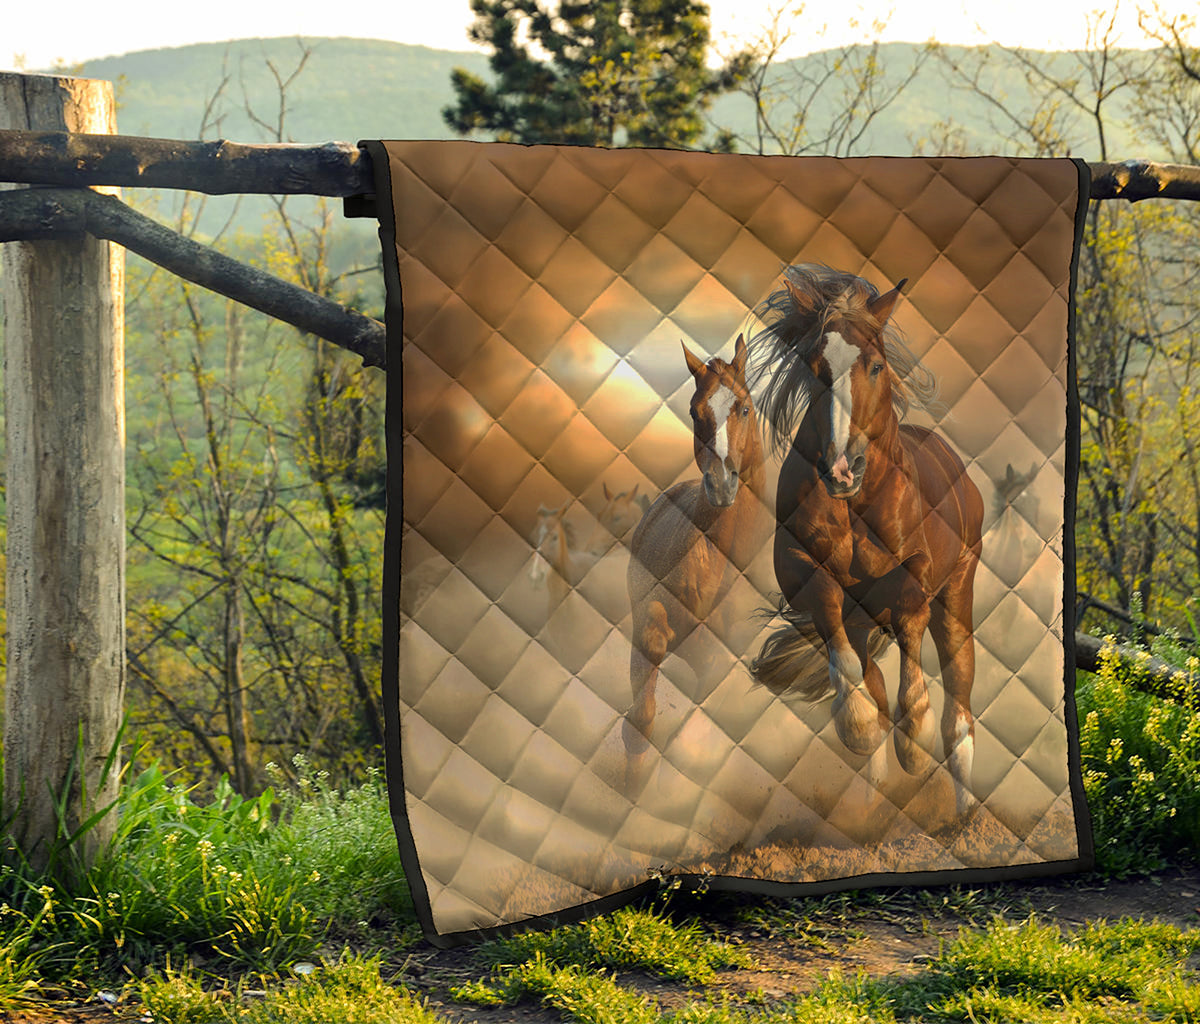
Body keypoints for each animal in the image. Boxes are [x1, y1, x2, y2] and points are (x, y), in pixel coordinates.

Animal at [748, 264, 984, 819]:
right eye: (815, 366)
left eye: (875, 366)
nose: (842, 467)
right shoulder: (804, 570)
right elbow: (845, 658)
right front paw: (857, 725)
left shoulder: (916, 572)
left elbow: (911, 628)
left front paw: (913, 739)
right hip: (866, 620)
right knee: (871, 674)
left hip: (958, 594)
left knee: (959, 708)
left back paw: (965, 815)